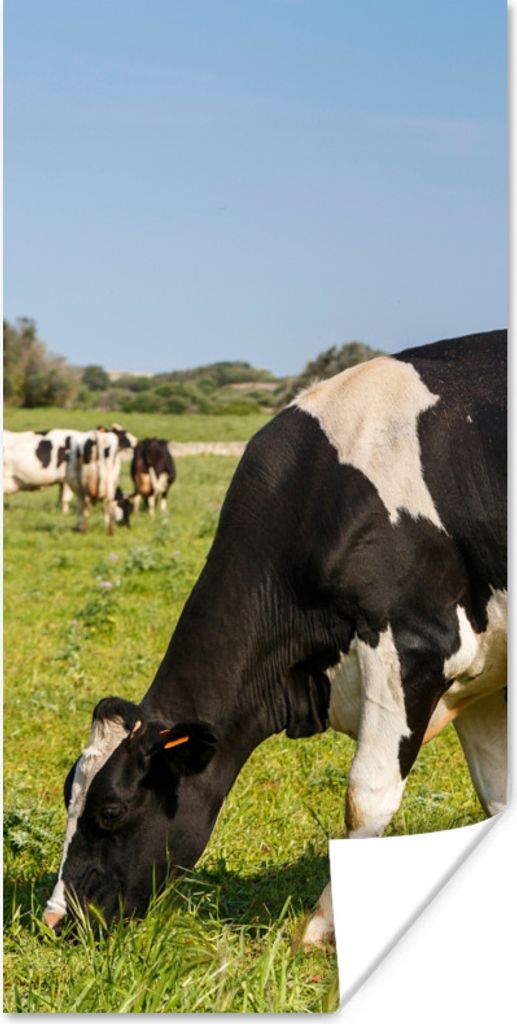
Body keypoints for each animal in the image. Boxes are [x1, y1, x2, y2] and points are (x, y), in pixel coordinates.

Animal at [44, 330, 507, 950]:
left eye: (111, 811)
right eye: (68, 796)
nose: (54, 920)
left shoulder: (413, 650)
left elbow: (367, 798)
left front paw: (319, 930)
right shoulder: (480, 673)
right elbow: (496, 796)